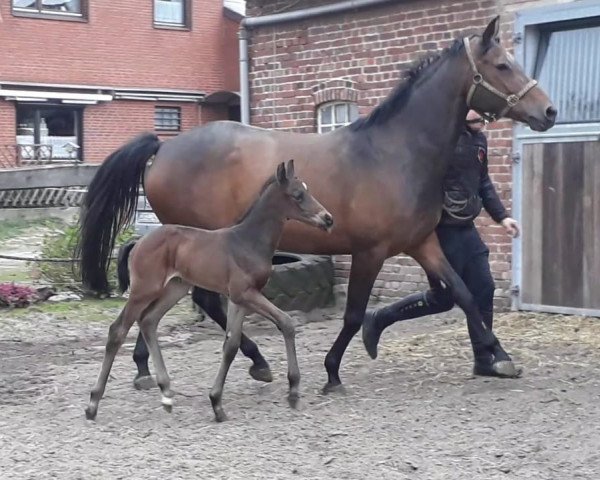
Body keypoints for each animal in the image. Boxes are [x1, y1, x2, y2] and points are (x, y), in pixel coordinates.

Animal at [76, 17, 556, 394]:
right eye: (502, 66)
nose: (549, 111)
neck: (395, 153)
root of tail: (164, 147)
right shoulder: (369, 252)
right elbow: (354, 314)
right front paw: (332, 372)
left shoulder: (423, 244)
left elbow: (462, 293)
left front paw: (499, 356)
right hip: (200, 244)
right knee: (200, 302)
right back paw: (256, 363)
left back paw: (146, 368)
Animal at [84, 160, 332, 420]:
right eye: (298, 195)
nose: (328, 219)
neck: (248, 241)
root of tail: (137, 242)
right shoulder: (245, 293)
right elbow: (286, 322)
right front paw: (292, 390)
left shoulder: (239, 299)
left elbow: (232, 344)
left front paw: (217, 402)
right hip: (144, 290)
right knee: (118, 330)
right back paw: (93, 403)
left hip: (175, 288)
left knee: (149, 321)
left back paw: (166, 394)